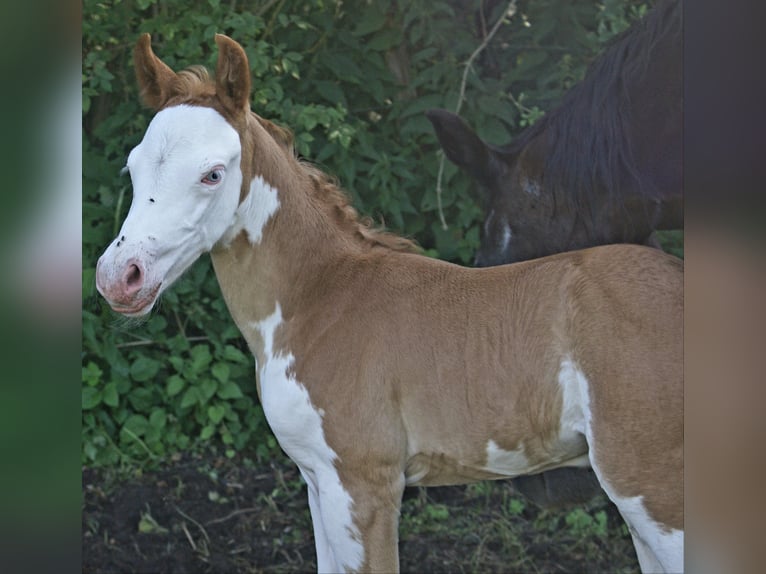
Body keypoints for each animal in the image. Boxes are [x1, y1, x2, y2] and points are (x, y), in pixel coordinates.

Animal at [96, 34, 684, 573]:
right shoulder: (318, 482)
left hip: (653, 491)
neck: (321, 299)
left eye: (213, 173)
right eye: (133, 167)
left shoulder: (364, 485)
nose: (119, 277)